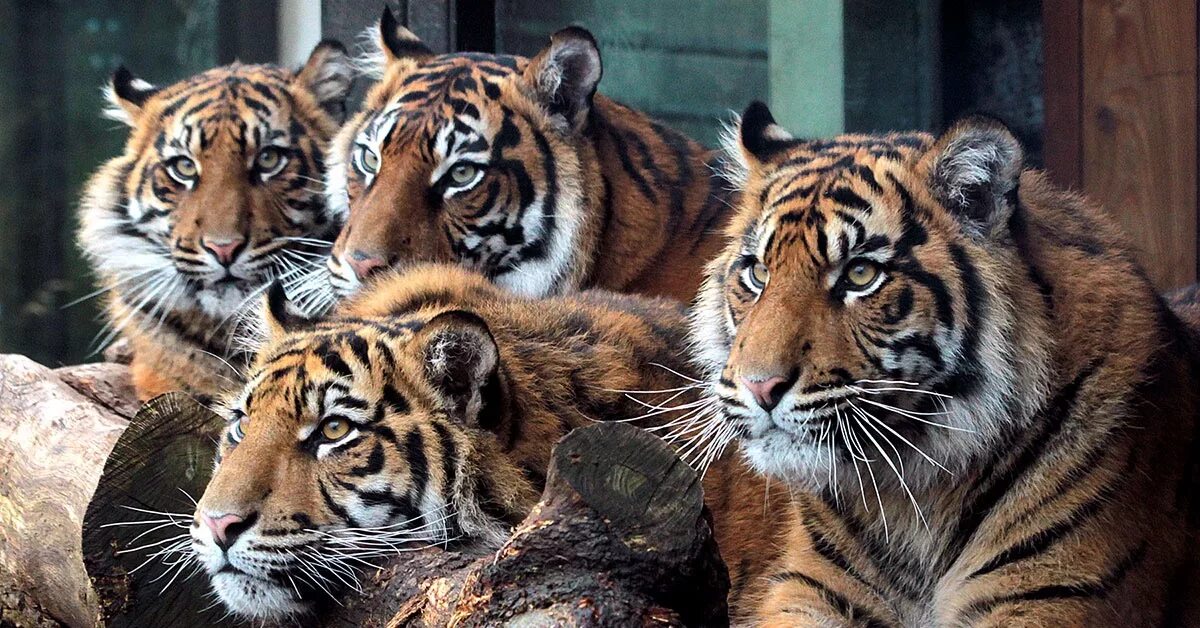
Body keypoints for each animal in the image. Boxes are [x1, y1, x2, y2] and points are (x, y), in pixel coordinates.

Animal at [688, 101, 1200, 626]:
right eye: (758, 272)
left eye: (860, 274)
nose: (761, 387)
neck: (911, 497)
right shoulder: (812, 590)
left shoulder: (1055, 593)